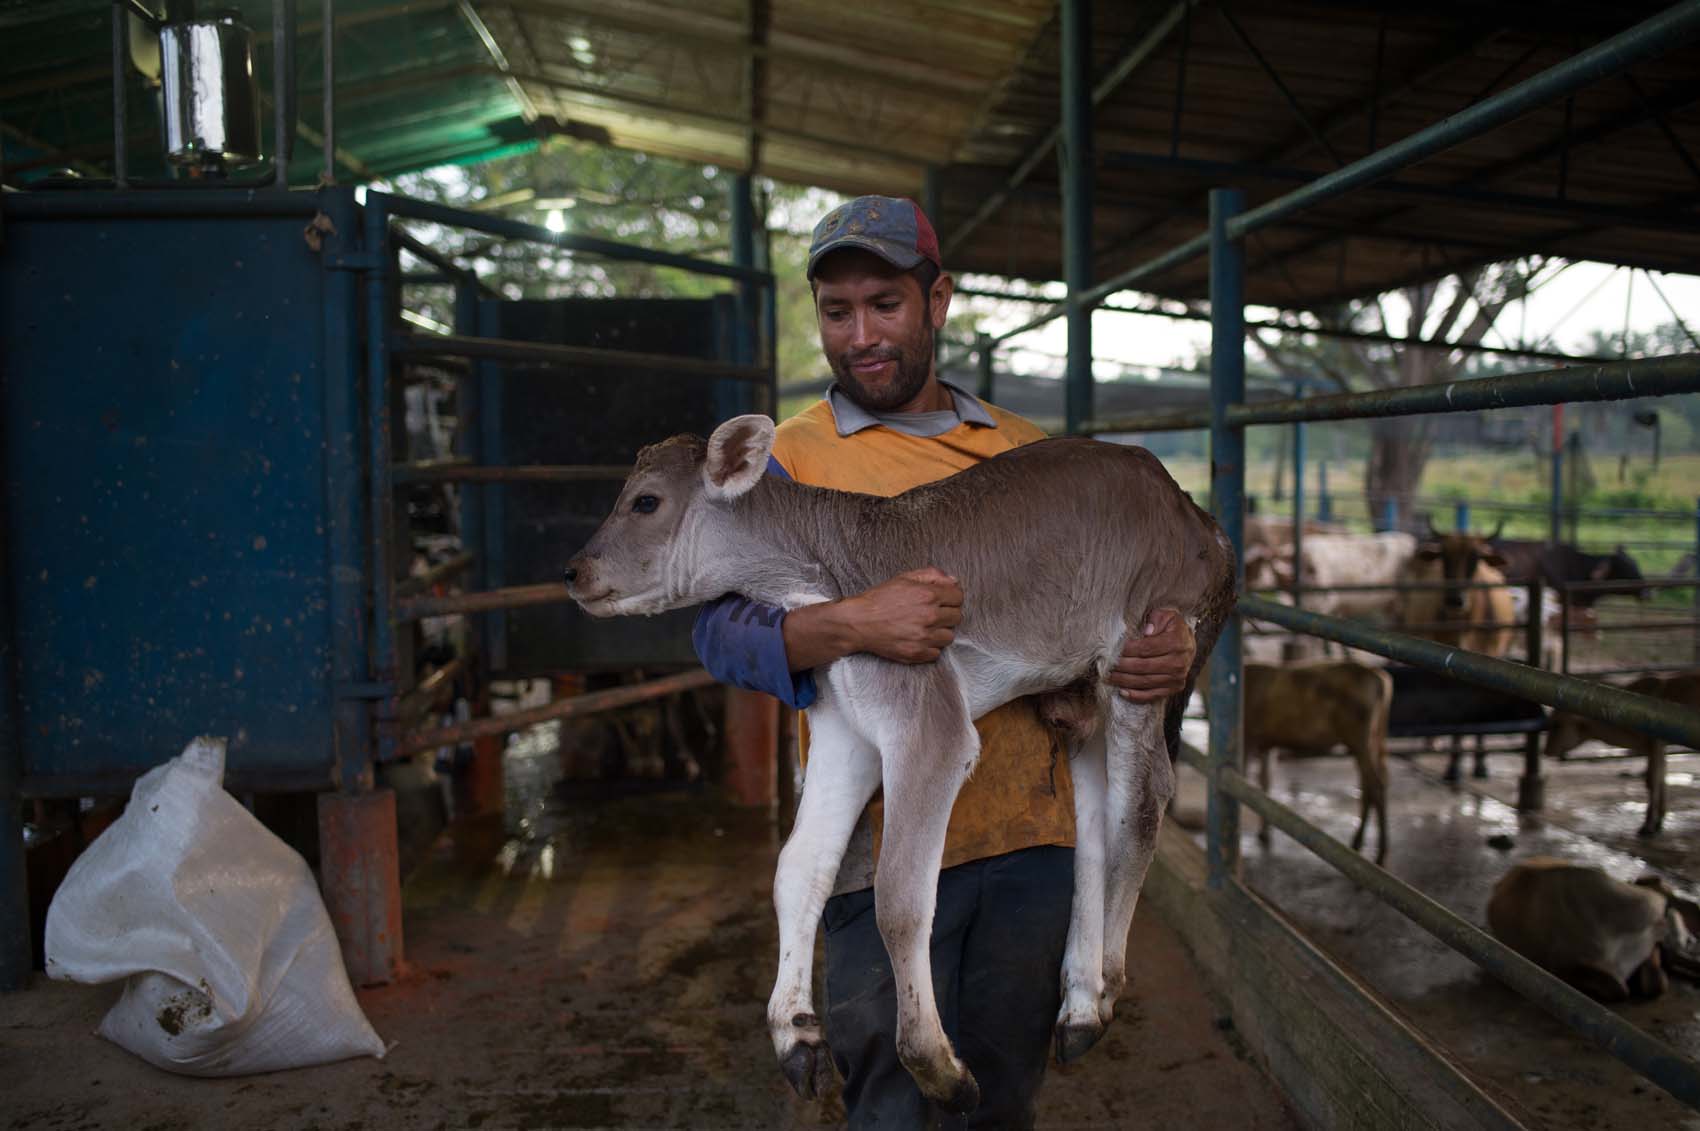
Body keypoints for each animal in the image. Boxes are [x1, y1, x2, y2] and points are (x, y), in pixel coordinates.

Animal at [1543, 666, 1700, 833]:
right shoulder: (1659, 748)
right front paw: (1659, 821)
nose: (1546, 750)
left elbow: (1651, 780)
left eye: (1557, 725)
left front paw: (1648, 825)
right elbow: (1661, 778)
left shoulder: (1655, 743)